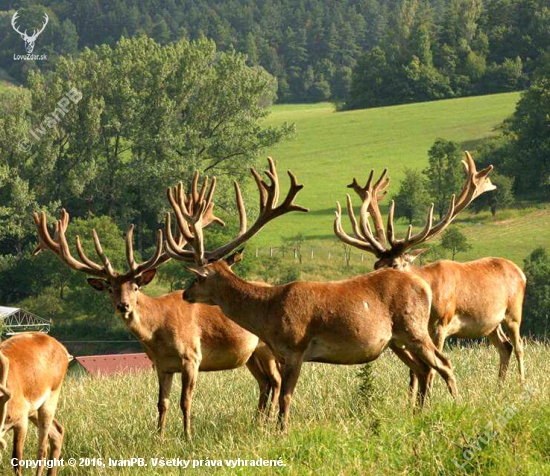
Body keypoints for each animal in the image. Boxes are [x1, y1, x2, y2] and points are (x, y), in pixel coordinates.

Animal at [0, 332, 70, 474]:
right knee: (57, 430)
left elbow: (17, 460)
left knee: (42, 449)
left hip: (52, 395)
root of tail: (64, 351)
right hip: (33, 410)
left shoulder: (21, 418)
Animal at [33, 173, 282, 436]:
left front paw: (187, 436)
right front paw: (160, 436)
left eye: (135, 287)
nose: (123, 306)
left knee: (275, 380)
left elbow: (185, 401)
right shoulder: (161, 365)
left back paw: (267, 422)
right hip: (250, 354)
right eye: (111, 289)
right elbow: (162, 403)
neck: (158, 334)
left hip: (266, 347)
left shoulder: (192, 356)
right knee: (264, 382)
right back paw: (258, 421)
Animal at [167, 157, 462, 432]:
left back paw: (456, 404)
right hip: (397, 339)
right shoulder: (282, 353)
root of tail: (423, 285)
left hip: (413, 326)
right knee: (423, 369)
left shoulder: (296, 346)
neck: (268, 313)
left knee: (444, 363)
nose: (185, 294)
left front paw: (281, 432)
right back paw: (419, 412)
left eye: (198, 277)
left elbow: (286, 396)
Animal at [340, 152, 532, 390]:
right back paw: (499, 387)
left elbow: (431, 367)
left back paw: (522, 384)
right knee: (505, 347)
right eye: (376, 265)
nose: (376, 282)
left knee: (519, 346)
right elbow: (413, 371)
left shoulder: (441, 322)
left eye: (395, 264)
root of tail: (520, 272)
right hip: (490, 323)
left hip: (514, 311)